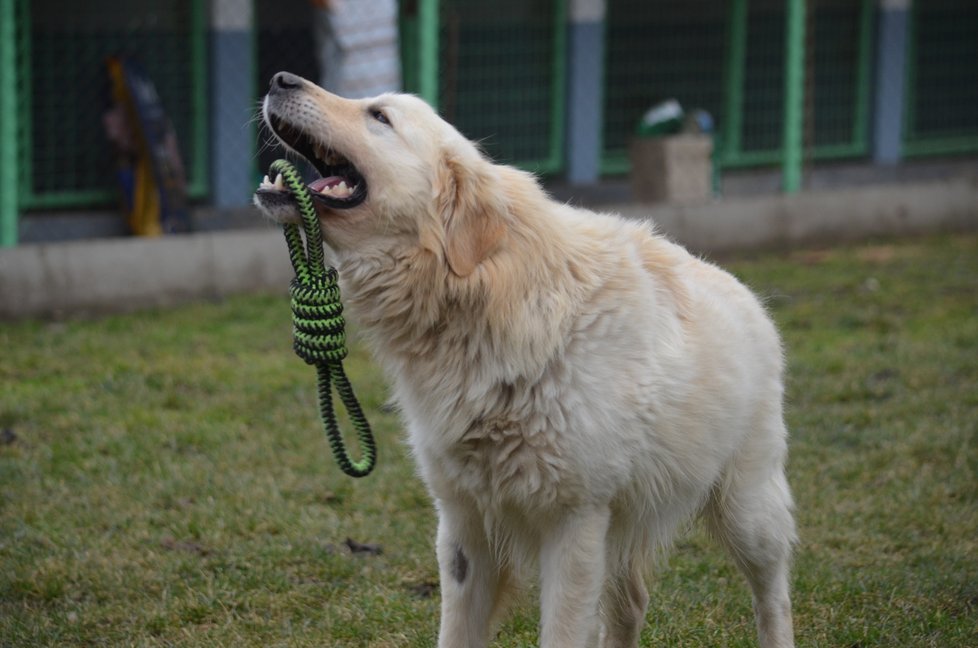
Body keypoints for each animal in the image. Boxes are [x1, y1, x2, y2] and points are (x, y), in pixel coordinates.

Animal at [252, 72, 792, 648]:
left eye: (379, 116)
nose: (280, 78)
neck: (483, 297)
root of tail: (743, 291)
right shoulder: (464, 526)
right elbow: (456, 634)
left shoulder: (575, 524)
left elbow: (562, 632)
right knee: (632, 604)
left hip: (747, 511)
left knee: (772, 595)